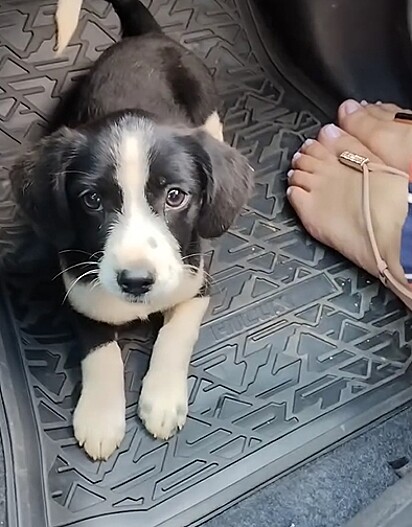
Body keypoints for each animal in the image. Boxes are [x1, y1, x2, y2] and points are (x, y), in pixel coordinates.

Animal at [11, 0, 253, 462]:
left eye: (175, 196)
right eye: (91, 200)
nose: (137, 282)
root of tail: (151, 38)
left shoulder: (196, 283)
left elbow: (175, 335)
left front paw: (161, 400)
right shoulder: (80, 294)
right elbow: (100, 352)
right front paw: (100, 417)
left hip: (206, 104)